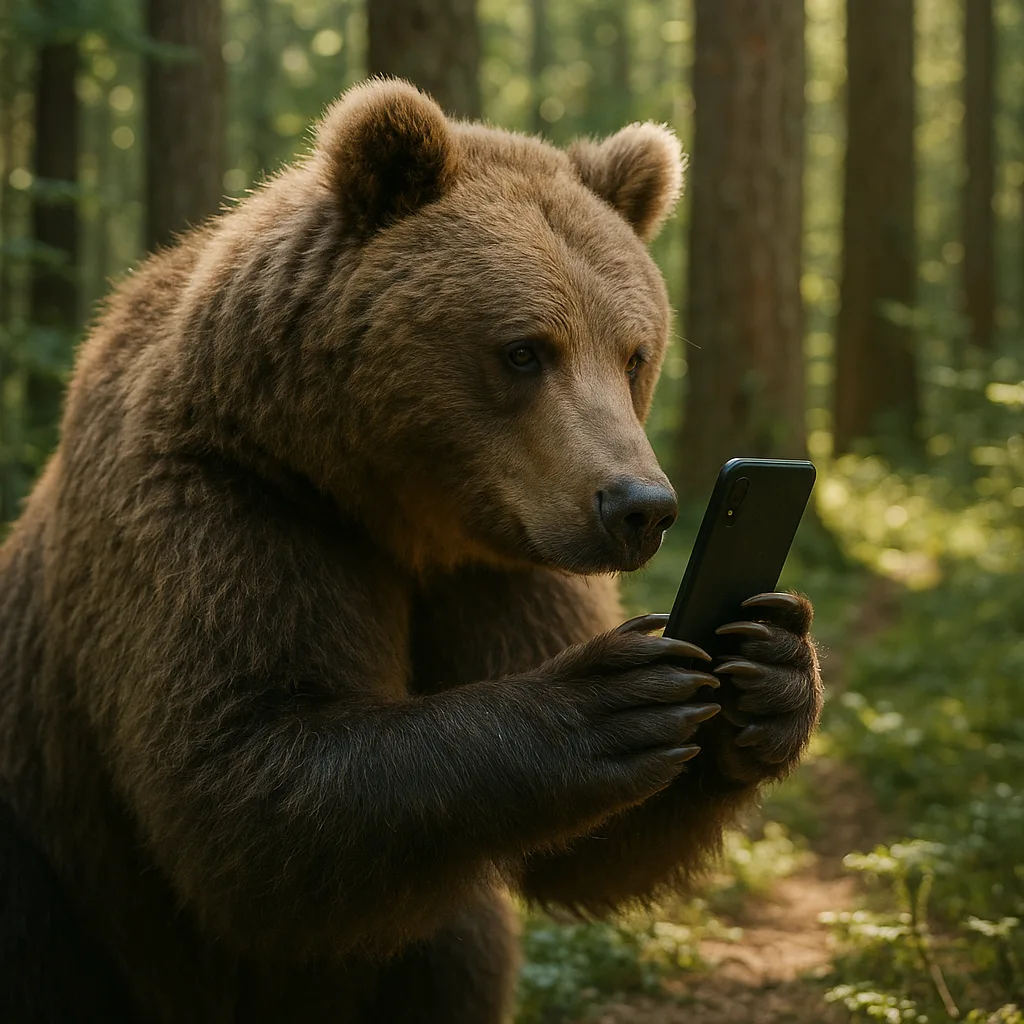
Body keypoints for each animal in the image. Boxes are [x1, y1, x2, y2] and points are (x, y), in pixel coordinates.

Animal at [0, 79, 822, 1023]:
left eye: (633, 352)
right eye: (524, 349)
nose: (638, 507)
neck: (389, 509)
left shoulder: (496, 567)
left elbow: (587, 846)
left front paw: (773, 671)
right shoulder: (220, 510)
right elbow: (236, 776)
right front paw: (606, 696)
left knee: (455, 952)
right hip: (56, 863)